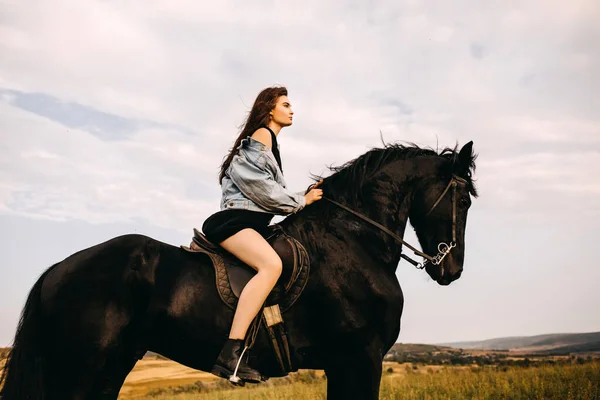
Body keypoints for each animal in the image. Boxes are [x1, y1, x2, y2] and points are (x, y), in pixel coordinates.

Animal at [0, 140, 478, 396]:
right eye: (463, 198)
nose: (450, 269)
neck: (351, 241)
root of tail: (58, 268)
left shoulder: (348, 364)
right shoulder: (360, 359)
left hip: (113, 363)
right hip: (78, 367)